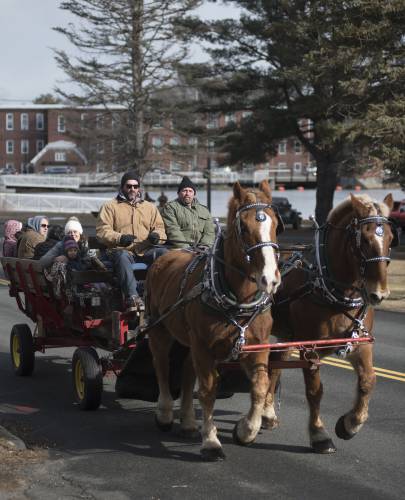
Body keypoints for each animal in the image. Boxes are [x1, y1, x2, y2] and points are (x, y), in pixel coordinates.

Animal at [144, 181, 280, 460]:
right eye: (244, 228)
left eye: (275, 223)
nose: (270, 278)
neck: (237, 298)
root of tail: (163, 257)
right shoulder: (204, 348)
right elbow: (207, 390)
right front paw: (210, 441)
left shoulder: (257, 345)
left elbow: (260, 386)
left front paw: (246, 430)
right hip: (160, 330)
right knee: (161, 366)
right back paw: (164, 413)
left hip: (189, 341)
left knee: (186, 372)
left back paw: (187, 422)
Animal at [264, 193, 396, 456]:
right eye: (364, 240)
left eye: (390, 238)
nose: (379, 294)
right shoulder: (310, 348)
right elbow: (315, 391)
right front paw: (319, 435)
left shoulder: (361, 343)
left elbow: (369, 380)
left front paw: (350, 424)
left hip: (287, 334)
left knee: (274, 362)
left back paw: (268, 414)